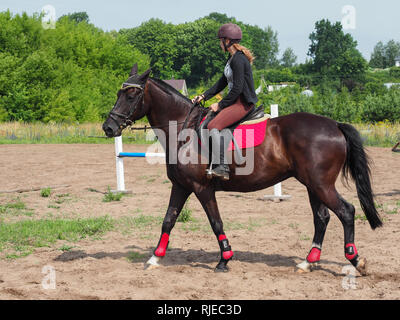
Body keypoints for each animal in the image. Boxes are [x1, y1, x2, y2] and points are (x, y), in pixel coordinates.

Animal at [102, 64, 382, 276]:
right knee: (322, 218)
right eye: (118, 93)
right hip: (313, 185)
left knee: (346, 211)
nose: (108, 127)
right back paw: (308, 261)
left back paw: (356, 260)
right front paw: (154, 258)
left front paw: (224, 259)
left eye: (130, 96)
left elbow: (215, 222)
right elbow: (168, 220)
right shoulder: (181, 186)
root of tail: (335, 125)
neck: (183, 129)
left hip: (321, 184)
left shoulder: (202, 188)